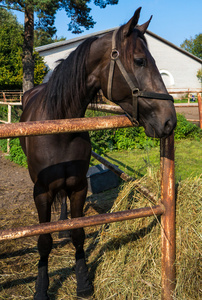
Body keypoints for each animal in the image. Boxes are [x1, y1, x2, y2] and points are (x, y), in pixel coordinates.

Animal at [19, 7, 176, 300]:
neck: (60, 127)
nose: (169, 120)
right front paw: (41, 288)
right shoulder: (42, 192)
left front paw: (83, 282)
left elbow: (79, 233)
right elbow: (43, 240)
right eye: (139, 61)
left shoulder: (79, 186)